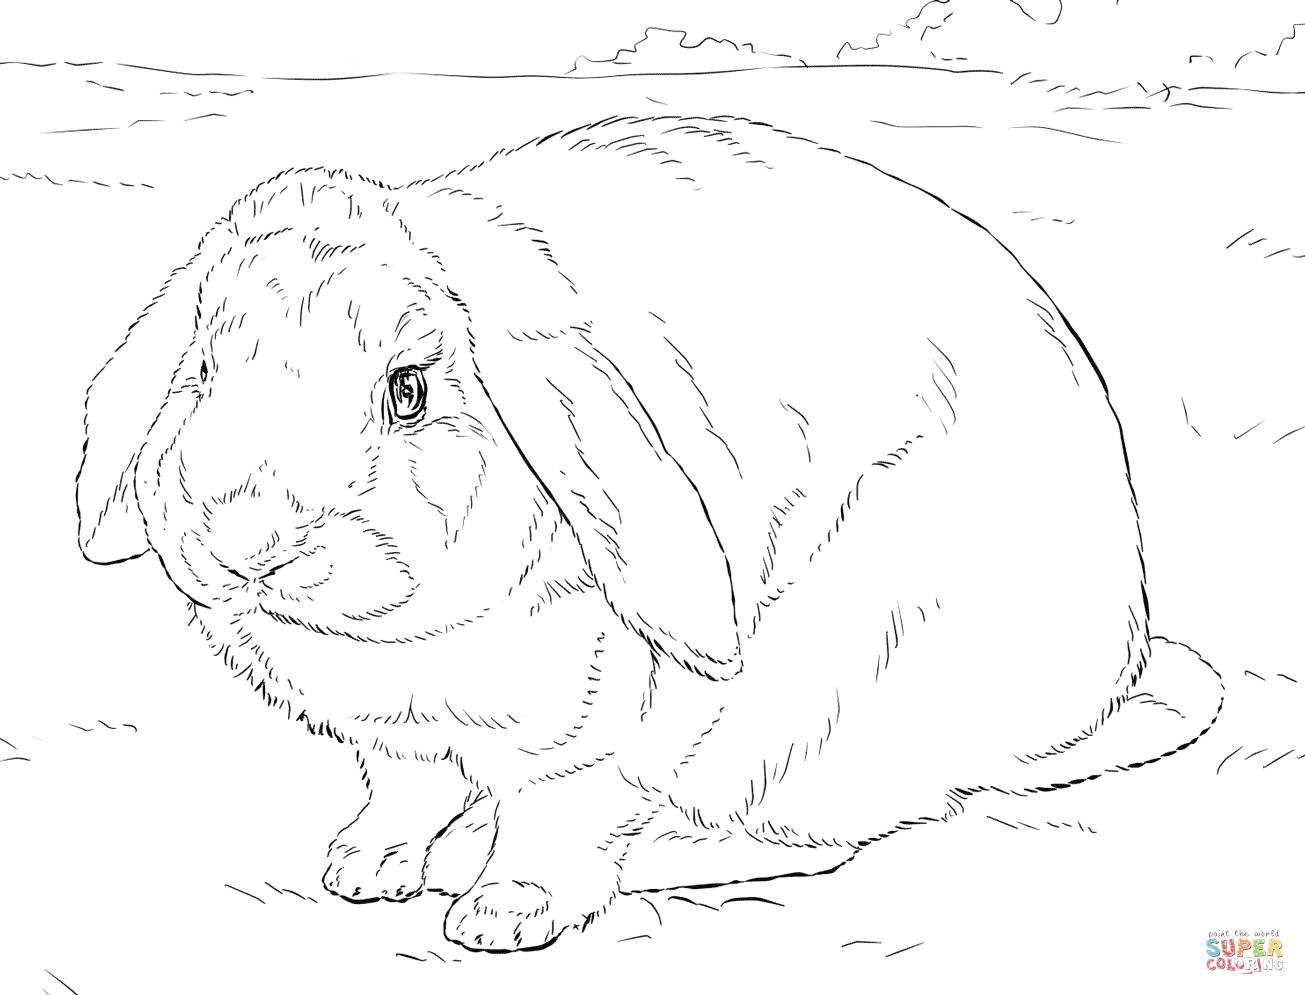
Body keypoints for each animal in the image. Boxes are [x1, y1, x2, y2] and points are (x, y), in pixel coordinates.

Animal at [76, 114, 1224, 951]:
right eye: (203, 369)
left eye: (409, 389)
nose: (245, 539)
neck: (400, 642)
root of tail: (1095, 694)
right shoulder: (392, 736)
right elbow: (397, 782)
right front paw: (362, 867)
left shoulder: (595, 732)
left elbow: (557, 812)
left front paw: (503, 911)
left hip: (830, 686)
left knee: (811, 831)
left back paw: (634, 855)